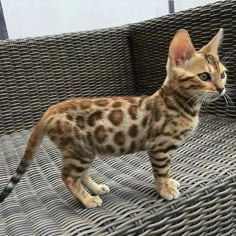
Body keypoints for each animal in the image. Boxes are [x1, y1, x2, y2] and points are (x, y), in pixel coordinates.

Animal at [0, 28, 227, 207]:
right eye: (204, 76)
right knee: (67, 176)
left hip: (84, 150)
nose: (222, 89)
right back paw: (87, 200)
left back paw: (96, 189)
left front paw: (170, 183)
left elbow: (168, 171)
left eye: (223, 74)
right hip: (79, 149)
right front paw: (165, 190)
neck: (182, 104)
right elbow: (162, 172)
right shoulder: (159, 148)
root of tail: (52, 109)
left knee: (80, 174)